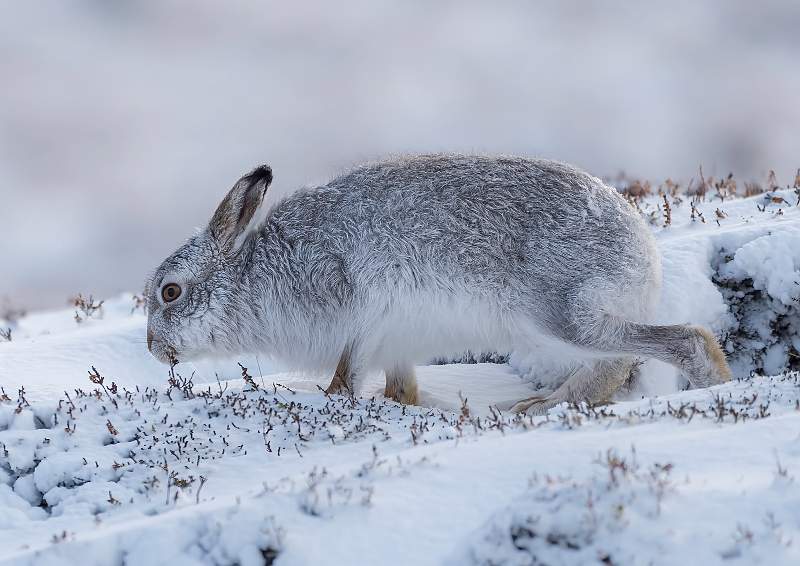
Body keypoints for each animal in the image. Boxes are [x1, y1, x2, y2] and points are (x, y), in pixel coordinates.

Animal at [145, 154, 731, 414]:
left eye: (171, 292)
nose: (152, 348)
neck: (251, 277)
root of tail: (642, 247)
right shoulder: (394, 341)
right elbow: (400, 388)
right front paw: (408, 407)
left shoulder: (360, 320)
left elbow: (344, 380)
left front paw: (331, 402)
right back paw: (538, 408)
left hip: (563, 314)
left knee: (677, 343)